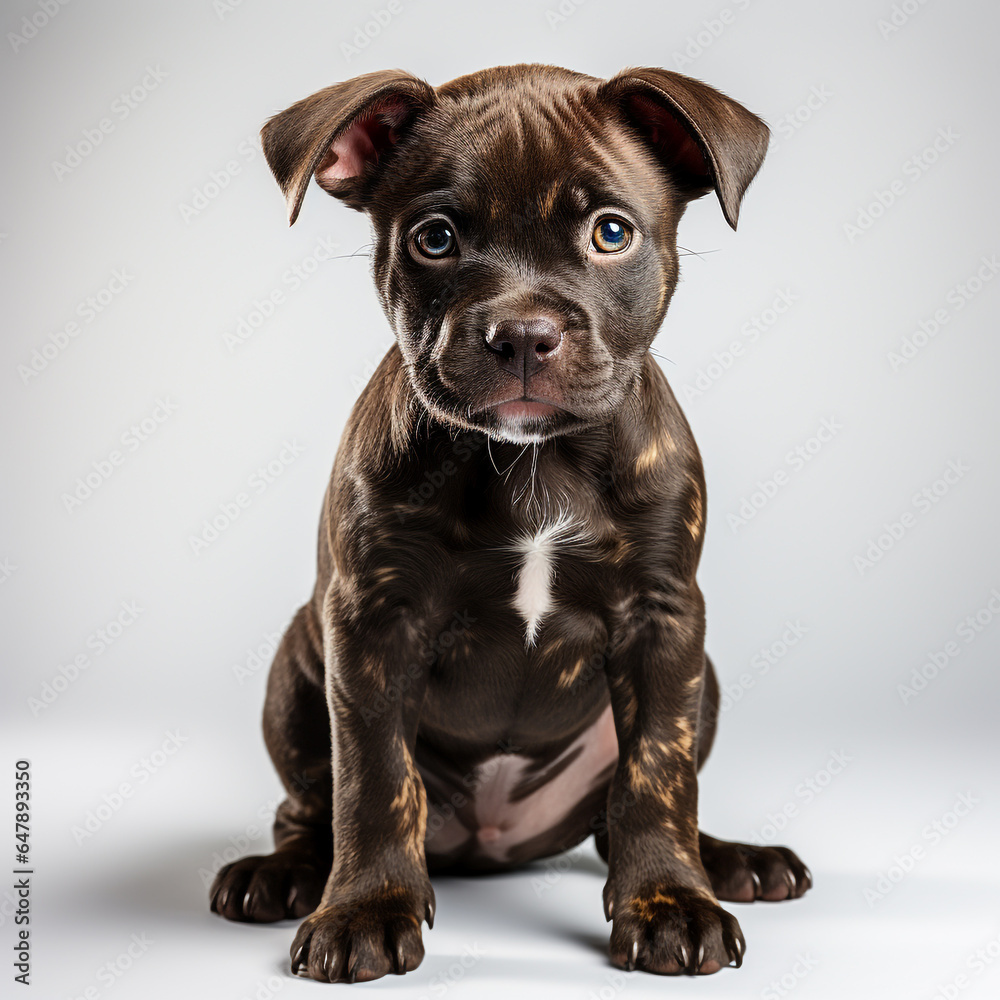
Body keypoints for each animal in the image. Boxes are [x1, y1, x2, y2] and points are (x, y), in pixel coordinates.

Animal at [211, 64, 812, 984]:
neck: (533, 460)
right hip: (299, 666)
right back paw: (281, 874)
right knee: (311, 807)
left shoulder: (663, 620)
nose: (523, 333)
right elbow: (374, 780)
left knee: (619, 810)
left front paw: (669, 901)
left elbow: (657, 775)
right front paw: (364, 910)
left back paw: (731, 861)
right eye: (434, 239)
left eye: (611, 233)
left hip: (700, 676)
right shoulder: (373, 622)